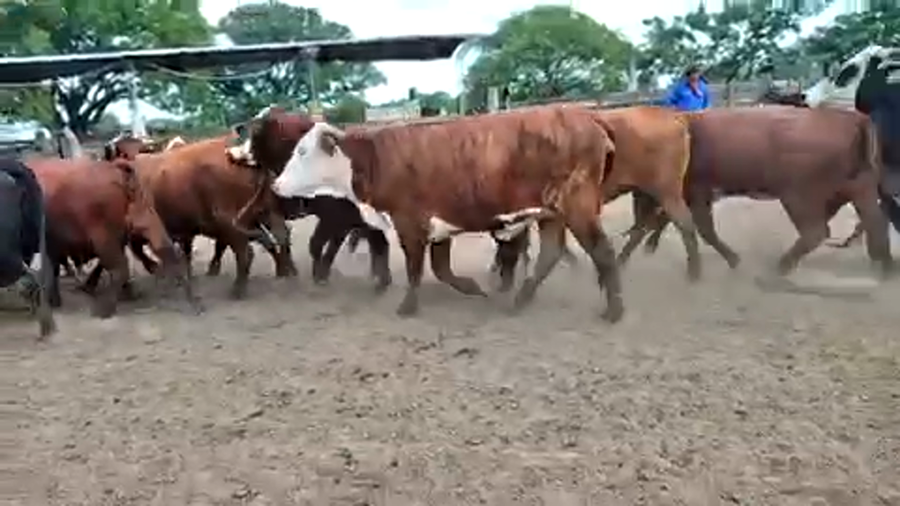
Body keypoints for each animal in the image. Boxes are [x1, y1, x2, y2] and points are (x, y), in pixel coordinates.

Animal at [269, 107, 624, 321]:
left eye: (302, 151)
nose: (276, 184)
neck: (374, 159)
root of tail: (587, 117)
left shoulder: (410, 223)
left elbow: (415, 268)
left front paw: (407, 306)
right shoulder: (439, 227)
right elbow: (442, 270)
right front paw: (473, 288)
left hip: (577, 207)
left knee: (603, 252)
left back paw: (614, 311)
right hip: (551, 213)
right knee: (550, 253)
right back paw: (520, 300)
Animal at [615, 106, 893, 279]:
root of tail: (851, 118)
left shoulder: (695, 193)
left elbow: (698, 228)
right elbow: (662, 222)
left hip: (799, 196)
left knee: (817, 231)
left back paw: (782, 266)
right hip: (860, 189)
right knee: (876, 222)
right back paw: (885, 266)